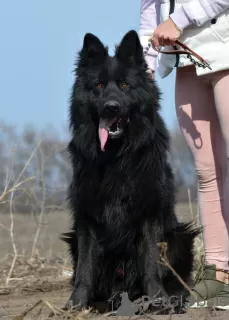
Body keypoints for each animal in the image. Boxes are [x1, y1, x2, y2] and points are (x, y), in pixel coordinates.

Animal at [62, 30, 199, 312]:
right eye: (99, 86)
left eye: (125, 86)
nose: (111, 107)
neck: (116, 157)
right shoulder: (87, 216)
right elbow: (85, 267)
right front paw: (76, 304)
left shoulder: (149, 212)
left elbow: (150, 261)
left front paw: (158, 301)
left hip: (180, 236)